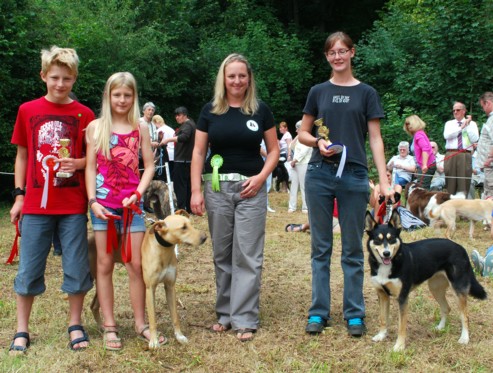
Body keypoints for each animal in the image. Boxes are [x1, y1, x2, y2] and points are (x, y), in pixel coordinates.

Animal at [364, 211, 486, 350]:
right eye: (378, 240)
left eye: (392, 239)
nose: (386, 253)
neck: (388, 265)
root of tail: (461, 248)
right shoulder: (382, 294)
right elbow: (383, 318)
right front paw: (381, 335)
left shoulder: (402, 297)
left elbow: (401, 326)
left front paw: (399, 346)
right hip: (435, 288)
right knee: (446, 308)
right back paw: (440, 327)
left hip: (458, 290)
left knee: (465, 316)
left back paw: (464, 338)